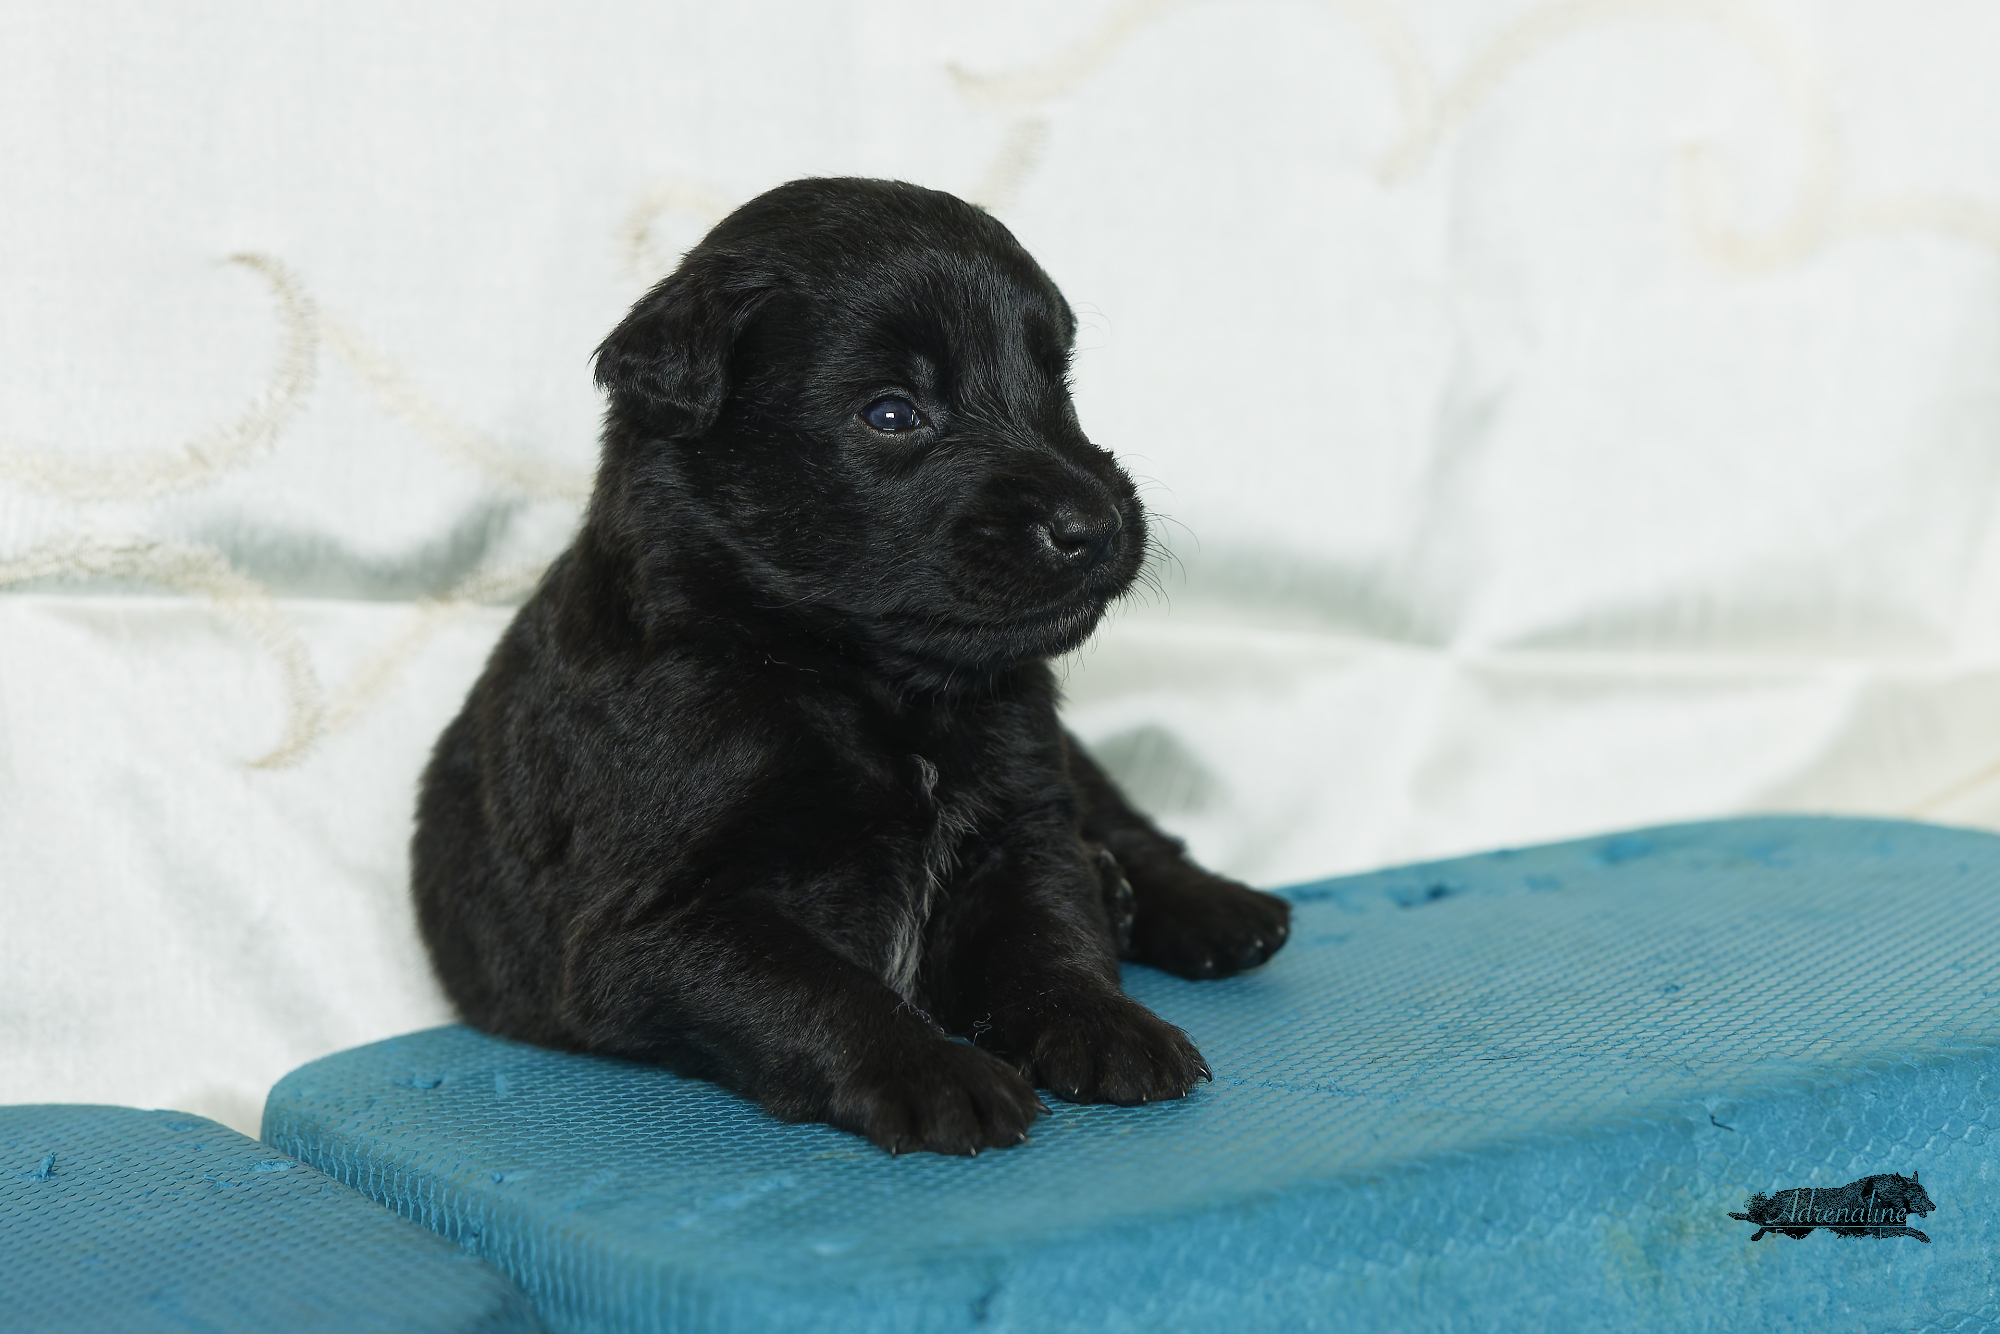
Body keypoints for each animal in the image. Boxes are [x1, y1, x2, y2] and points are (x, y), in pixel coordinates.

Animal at [418, 180, 1296, 1160]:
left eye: (1057, 383)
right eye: (891, 413)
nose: (1093, 524)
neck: (860, 681)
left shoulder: (1023, 816)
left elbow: (1050, 932)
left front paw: (1102, 1022)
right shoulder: (649, 924)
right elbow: (809, 985)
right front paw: (937, 1071)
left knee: (1124, 821)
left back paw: (1210, 906)